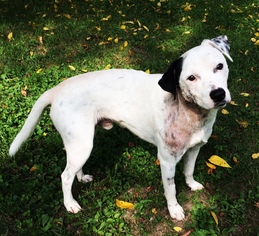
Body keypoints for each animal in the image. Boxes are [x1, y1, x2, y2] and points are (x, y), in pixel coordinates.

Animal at [9, 35, 234, 219]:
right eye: (191, 78)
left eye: (219, 66)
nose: (218, 94)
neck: (188, 111)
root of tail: (57, 89)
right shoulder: (167, 161)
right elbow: (171, 189)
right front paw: (175, 210)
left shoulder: (195, 149)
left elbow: (189, 170)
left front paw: (192, 184)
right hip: (83, 145)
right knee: (65, 176)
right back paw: (70, 204)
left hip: (78, 144)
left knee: (72, 168)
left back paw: (81, 178)